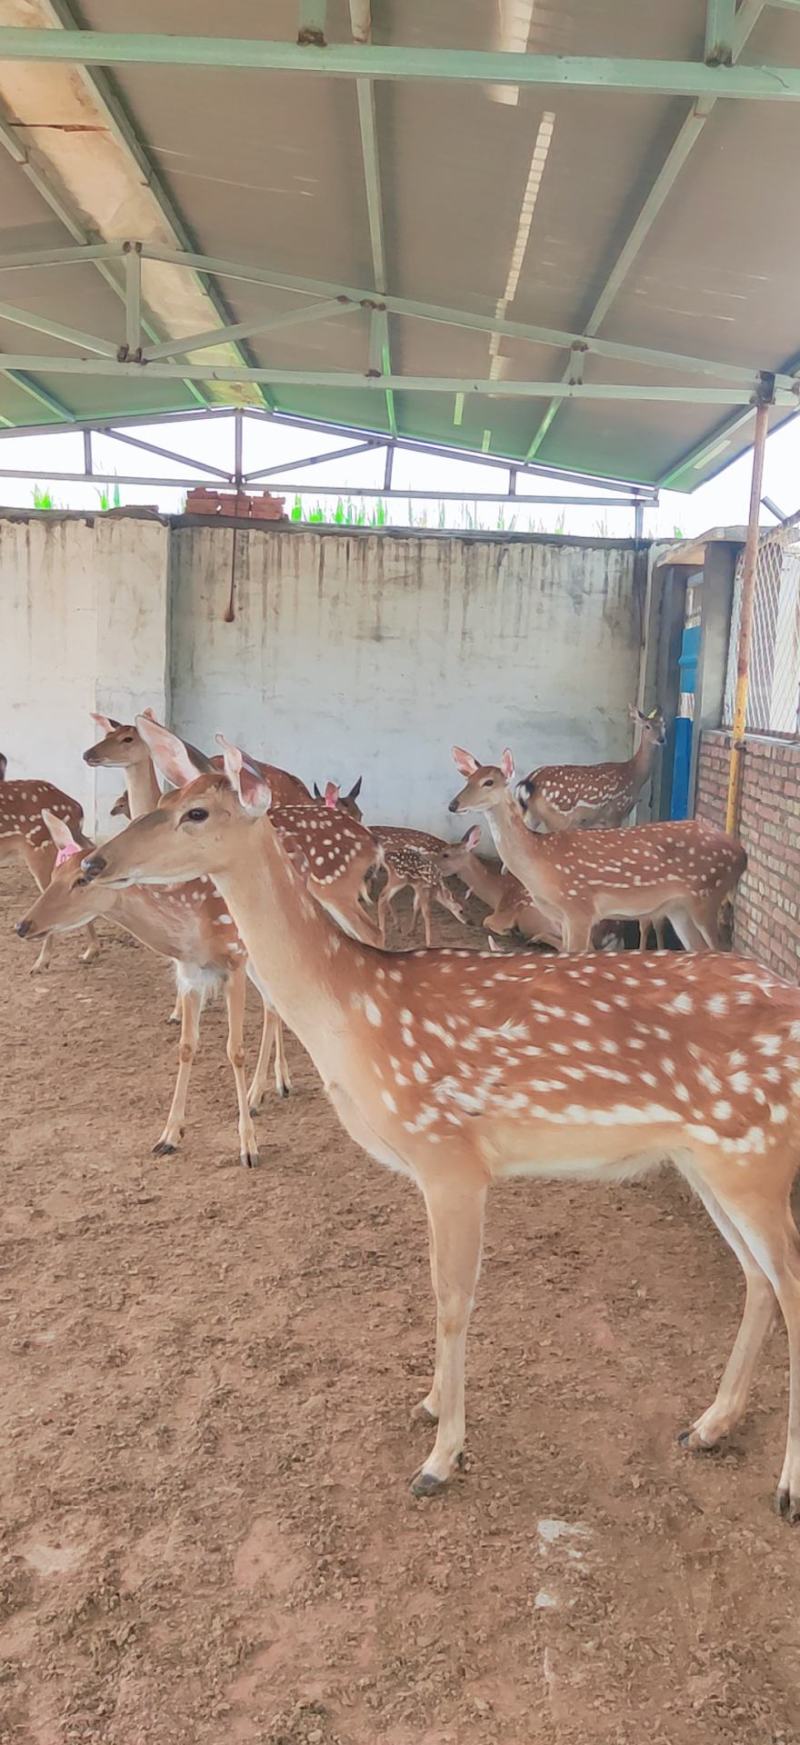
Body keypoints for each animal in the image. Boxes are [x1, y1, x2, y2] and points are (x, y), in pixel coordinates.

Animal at [447, 746, 747, 956]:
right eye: (467, 779)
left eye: (489, 782)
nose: (453, 804)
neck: (540, 862)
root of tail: (742, 854)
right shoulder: (563, 916)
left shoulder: (580, 907)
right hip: (678, 908)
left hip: (707, 896)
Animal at [517, 704, 667, 834]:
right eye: (647, 726)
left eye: (664, 726)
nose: (661, 739)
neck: (634, 775)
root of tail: (531, 780)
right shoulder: (615, 812)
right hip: (558, 817)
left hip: (531, 814)